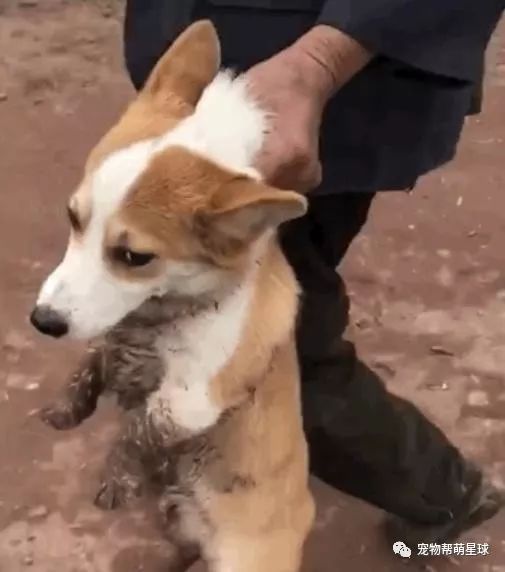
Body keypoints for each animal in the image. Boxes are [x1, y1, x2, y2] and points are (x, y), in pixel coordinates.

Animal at [29, 21, 314, 572]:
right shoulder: (112, 338)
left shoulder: (191, 399)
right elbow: (93, 359)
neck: (161, 314)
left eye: (134, 256)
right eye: (73, 217)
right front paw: (71, 403)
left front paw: (118, 476)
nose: (42, 321)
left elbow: (138, 429)